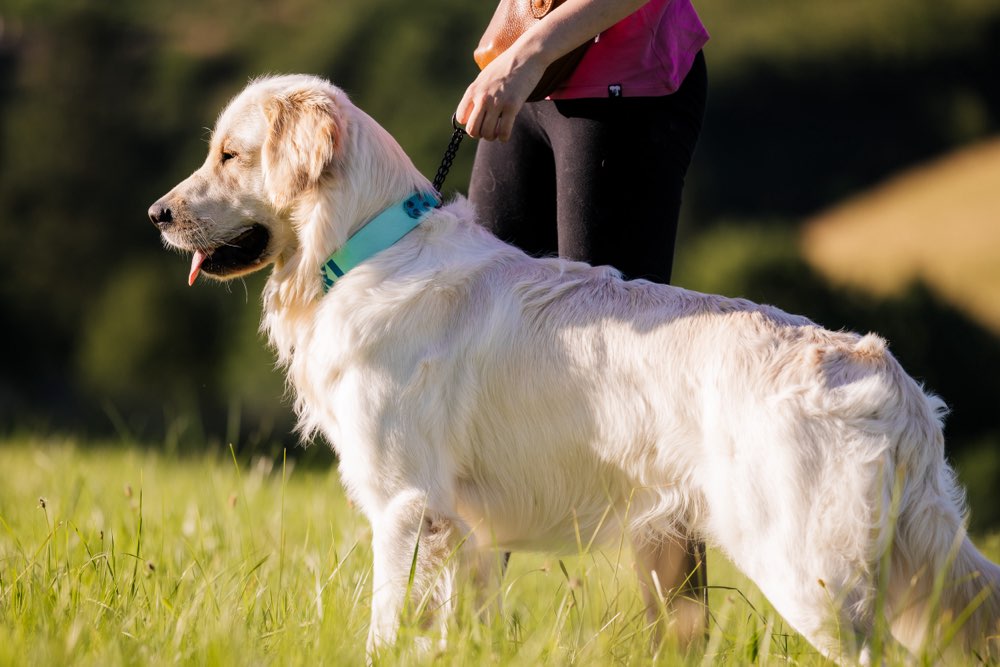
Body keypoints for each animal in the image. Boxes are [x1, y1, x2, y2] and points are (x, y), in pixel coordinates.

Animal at [150, 74, 1000, 664]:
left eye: (230, 154)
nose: (156, 214)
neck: (366, 247)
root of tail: (890, 377)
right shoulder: (461, 527)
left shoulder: (405, 504)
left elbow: (385, 627)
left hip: (809, 569)